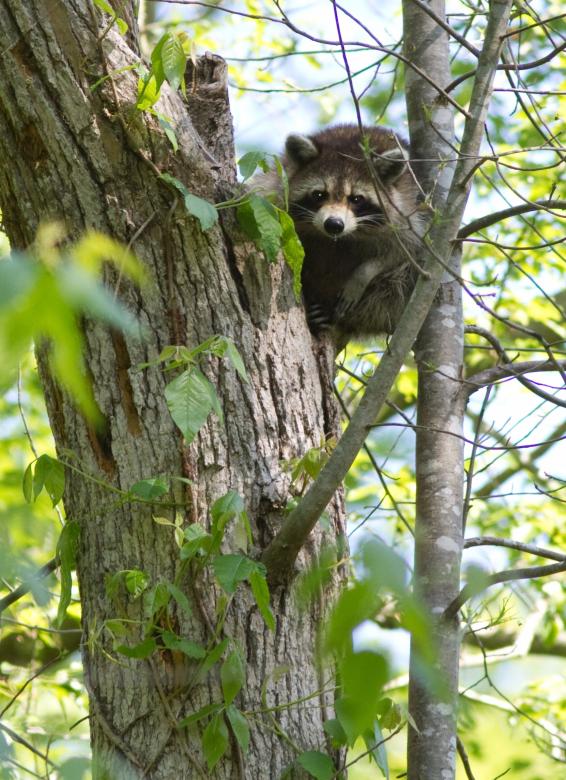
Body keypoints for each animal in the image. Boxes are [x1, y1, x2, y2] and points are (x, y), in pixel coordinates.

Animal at [259, 124, 424, 347]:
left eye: (356, 198)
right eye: (319, 194)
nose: (334, 224)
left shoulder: (406, 214)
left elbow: (406, 252)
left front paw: (361, 277)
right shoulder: (277, 191)